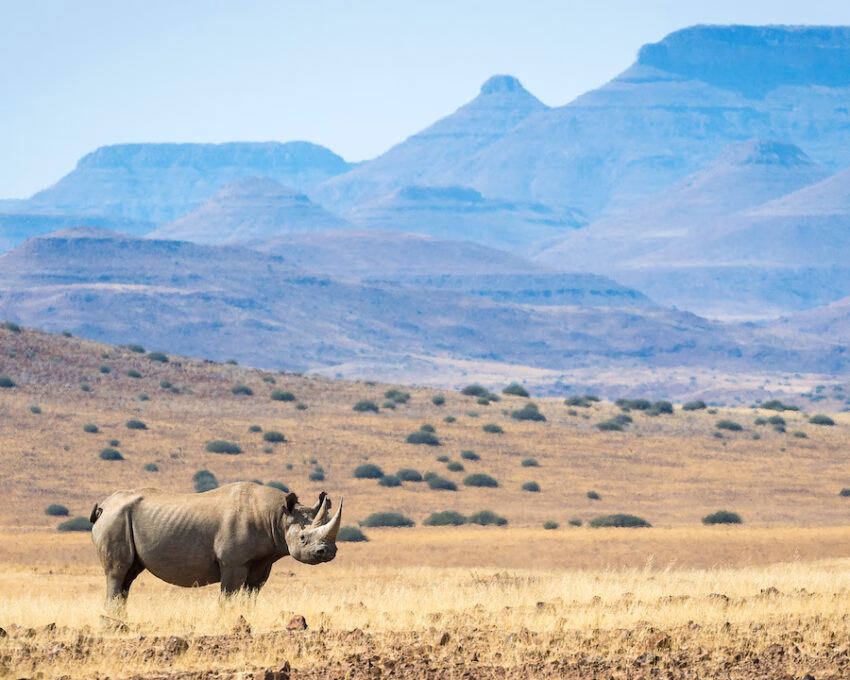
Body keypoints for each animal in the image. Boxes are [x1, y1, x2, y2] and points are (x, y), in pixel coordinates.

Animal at [90, 481, 341, 609]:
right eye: (303, 539)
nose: (328, 552)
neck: (277, 516)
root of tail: (104, 506)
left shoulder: (263, 561)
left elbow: (250, 598)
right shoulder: (232, 562)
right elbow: (228, 597)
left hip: (121, 520)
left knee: (128, 576)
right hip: (115, 519)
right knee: (118, 572)